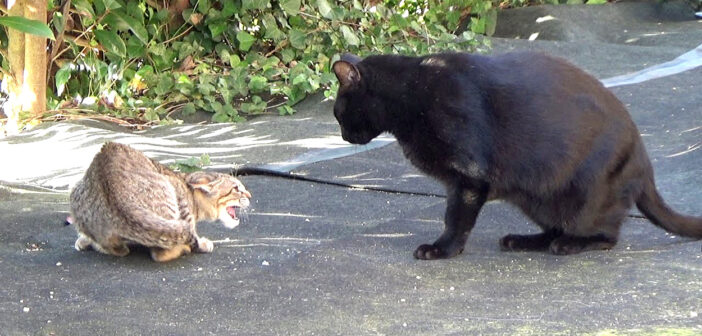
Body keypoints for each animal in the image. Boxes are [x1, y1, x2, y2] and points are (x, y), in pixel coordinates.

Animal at [70, 142, 252, 262]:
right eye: (236, 188)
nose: (250, 195)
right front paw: (201, 244)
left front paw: (83, 241)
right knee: (160, 254)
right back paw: (183, 249)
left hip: (75, 194)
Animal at [332, 51, 700, 260]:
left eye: (338, 112)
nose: (344, 136)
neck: (411, 93)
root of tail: (645, 162)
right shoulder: (460, 182)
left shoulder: (469, 177)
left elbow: (455, 219)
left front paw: (442, 250)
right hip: (535, 197)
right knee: (555, 227)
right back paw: (522, 240)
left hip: (584, 197)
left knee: (606, 235)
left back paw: (569, 246)